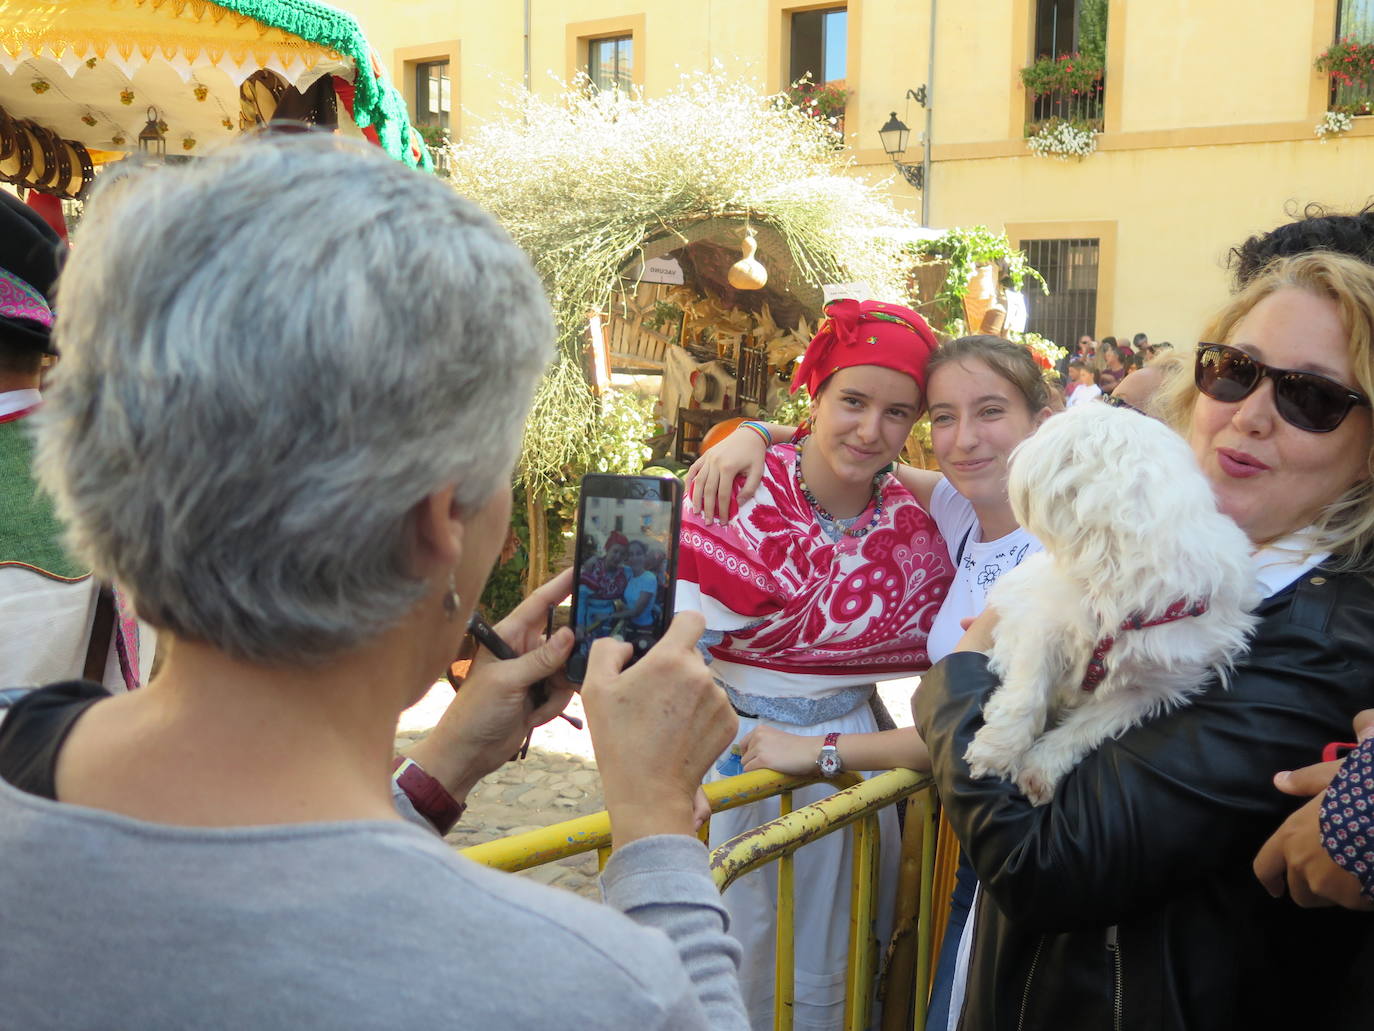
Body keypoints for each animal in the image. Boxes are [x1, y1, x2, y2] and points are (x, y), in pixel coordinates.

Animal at [961, 401, 1258, 808]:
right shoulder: (1044, 628)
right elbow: (1026, 695)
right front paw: (998, 750)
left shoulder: (1148, 688)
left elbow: (1084, 729)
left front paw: (1040, 768)